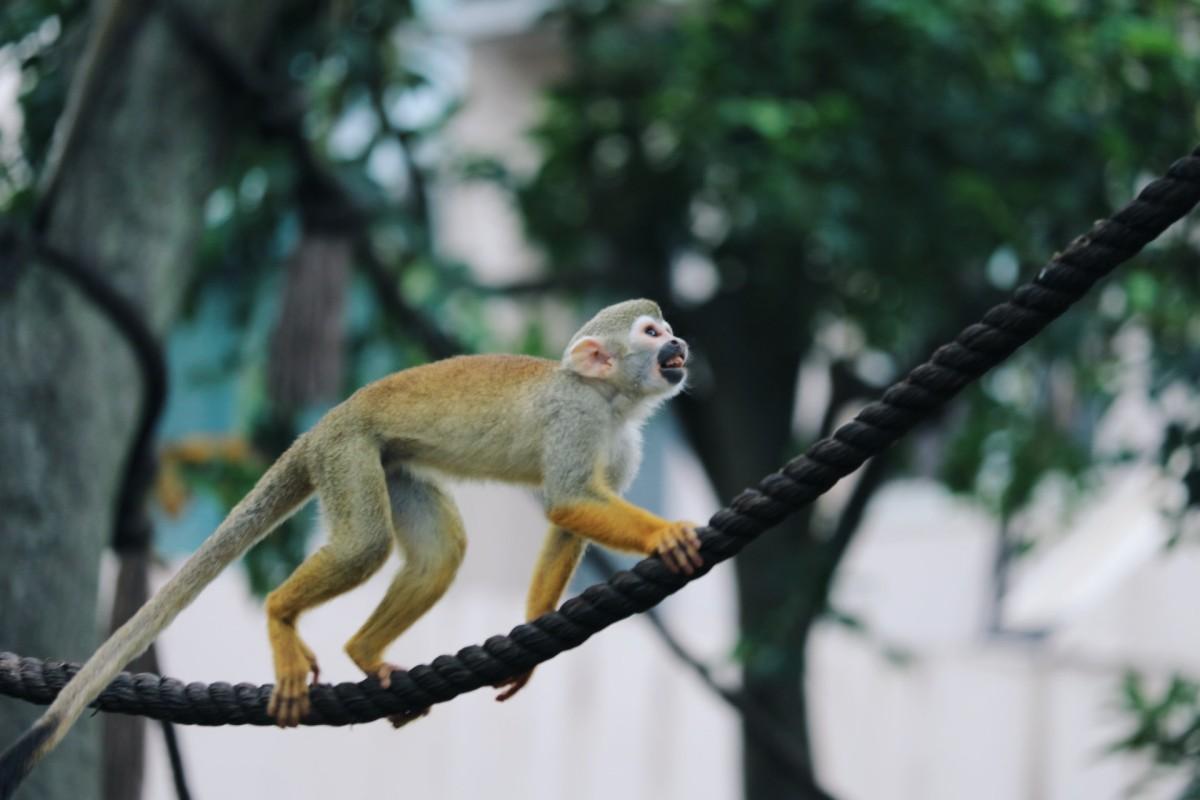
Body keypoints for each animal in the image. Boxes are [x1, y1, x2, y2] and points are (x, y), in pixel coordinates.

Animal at [0, 302, 700, 796]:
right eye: (649, 331)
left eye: (667, 328)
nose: (679, 344)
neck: (610, 401)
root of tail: (321, 425)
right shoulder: (574, 418)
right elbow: (566, 501)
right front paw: (664, 534)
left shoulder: (622, 443)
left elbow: (568, 519)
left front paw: (529, 640)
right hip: (349, 452)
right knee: (366, 542)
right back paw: (281, 614)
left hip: (389, 460)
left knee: (441, 549)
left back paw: (364, 650)